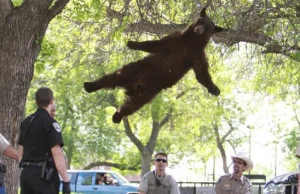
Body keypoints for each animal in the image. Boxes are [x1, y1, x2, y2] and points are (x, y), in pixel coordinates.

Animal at [83, 7, 224, 123]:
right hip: (136, 69)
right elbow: (156, 44)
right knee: (113, 77)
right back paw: (90, 85)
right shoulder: (176, 40)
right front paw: (132, 43)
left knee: (132, 106)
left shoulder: (196, 54)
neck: (191, 42)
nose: (198, 29)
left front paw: (214, 89)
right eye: (201, 22)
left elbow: (201, 72)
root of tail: (134, 86)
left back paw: (117, 116)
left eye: (208, 28)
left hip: (149, 93)